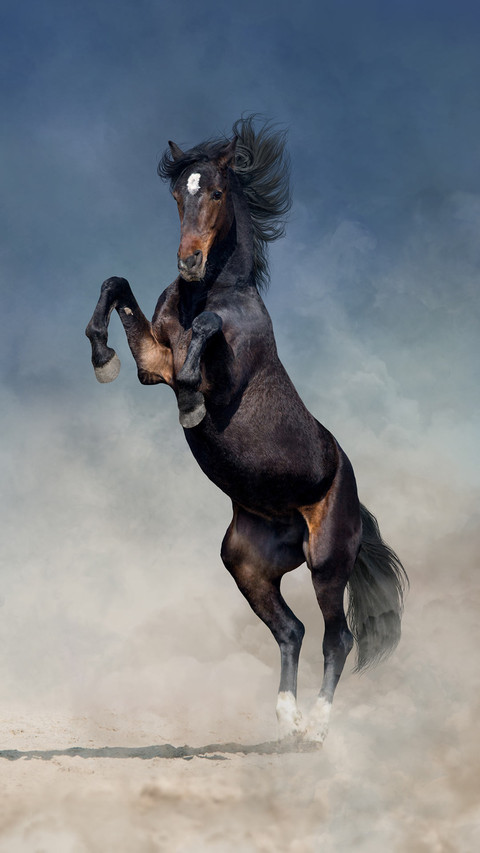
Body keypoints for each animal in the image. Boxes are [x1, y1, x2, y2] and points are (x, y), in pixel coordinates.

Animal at [86, 116, 407, 744]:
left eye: (213, 192)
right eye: (175, 194)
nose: (188, 262)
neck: (207, 291)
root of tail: (354, 499)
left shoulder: (218, 364)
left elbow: (207, 333)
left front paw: (190, 403)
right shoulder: (154, 359)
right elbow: (116, 286)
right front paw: (102, 358)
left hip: (327, 561)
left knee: (337, 637)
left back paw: (315, 730)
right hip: (247, 563)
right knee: (292, 630)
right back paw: (286, 719)